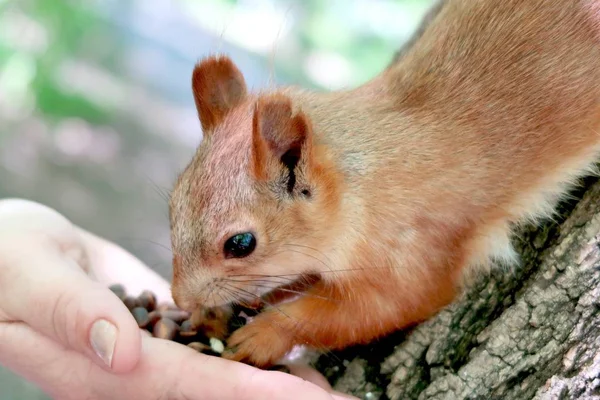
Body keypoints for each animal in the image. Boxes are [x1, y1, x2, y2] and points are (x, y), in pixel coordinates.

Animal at [166, 0, 600, 368]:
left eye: (241, 244)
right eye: (172, 204)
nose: (181, 298)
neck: (363, 187)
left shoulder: (415, 251)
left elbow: (379, 309)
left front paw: (264, 334)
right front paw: (216, 316)